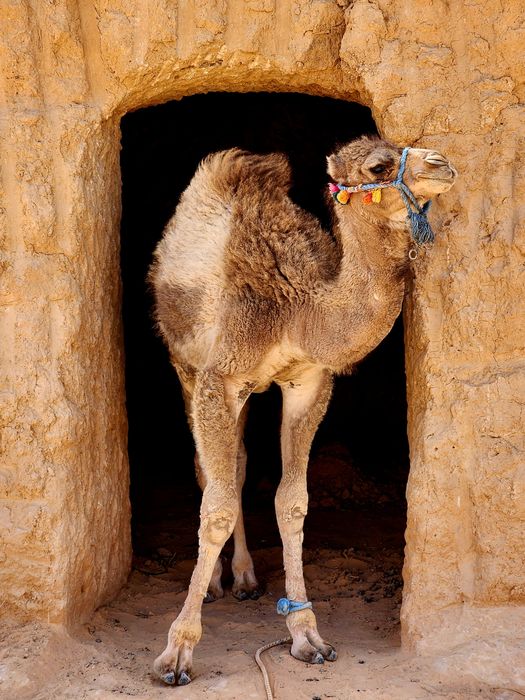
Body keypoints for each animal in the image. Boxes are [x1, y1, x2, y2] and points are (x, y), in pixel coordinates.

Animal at [149, 135, 457, 685]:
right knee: (210, 472)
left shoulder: (308, 382)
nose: (443, 164)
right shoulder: (219, 377)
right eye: (378, 165)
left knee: (239, 465)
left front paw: (307, 636)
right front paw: (177, 652)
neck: (298, 311)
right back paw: (217, 583)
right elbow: (216, 507)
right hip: (184, 362)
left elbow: (292, 503)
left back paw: (245, 577)